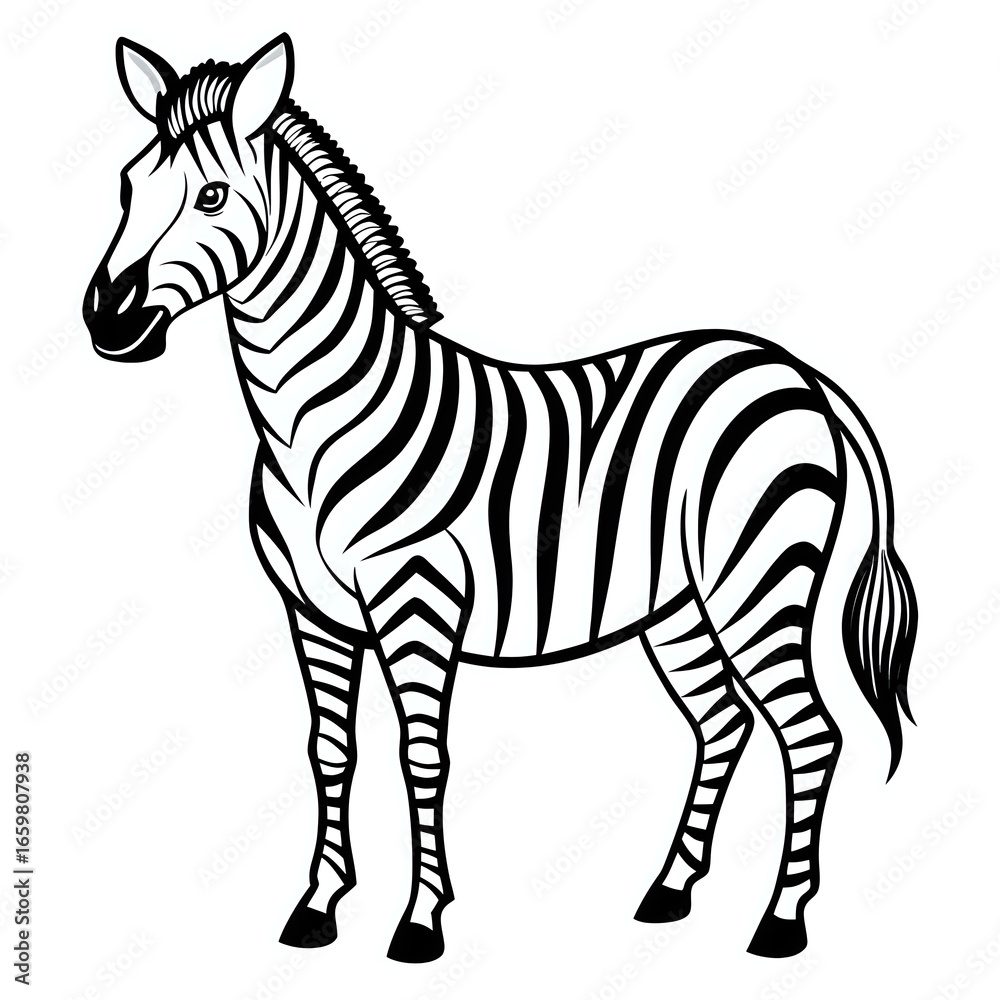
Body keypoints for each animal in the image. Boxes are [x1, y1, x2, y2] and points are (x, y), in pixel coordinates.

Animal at [82, 35, 917, 963]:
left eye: (212, 195)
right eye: (126, 185)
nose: (106, 321)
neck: (311, 426)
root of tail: (795, 370)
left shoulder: (417, 601)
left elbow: (422, 757)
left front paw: (420, 922)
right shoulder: (313, 613)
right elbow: (330, 753)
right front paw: (318, 907)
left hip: (758, 581)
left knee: (809, 733)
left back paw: (781, 920)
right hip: (679, 606)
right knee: (723, 721)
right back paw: (670, 890)